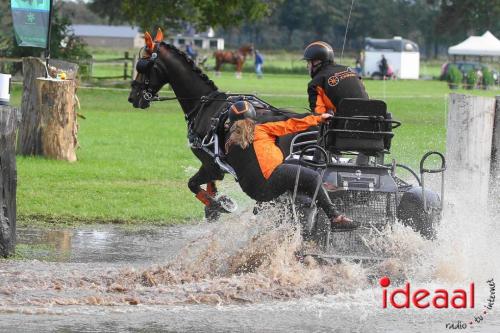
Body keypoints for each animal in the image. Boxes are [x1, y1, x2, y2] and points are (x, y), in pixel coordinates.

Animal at [127, 31, 302, 220]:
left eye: (142, 66)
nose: (132, 97)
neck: (204, 103)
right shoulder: (213, 166)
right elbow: (209, 188)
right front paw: (213, 207)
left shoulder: (211, 165)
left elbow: (192, 184)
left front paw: (219, 205)